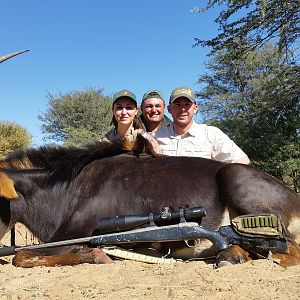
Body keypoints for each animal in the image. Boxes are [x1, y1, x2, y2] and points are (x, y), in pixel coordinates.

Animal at [0, 136, 298, 268]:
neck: (69, 186)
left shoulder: (74, 236)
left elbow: (21, 256)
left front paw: (96, 256)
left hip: (235, 178)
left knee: (289, 251)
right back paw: (233, 254)